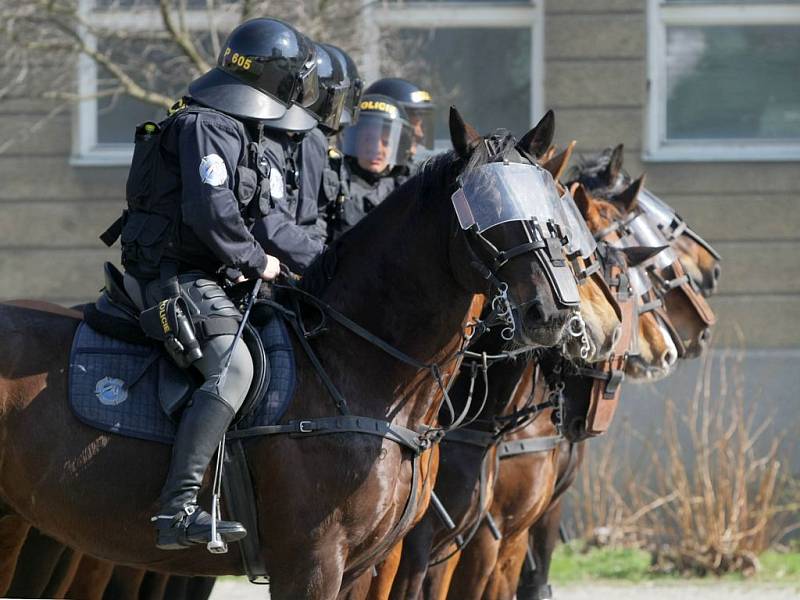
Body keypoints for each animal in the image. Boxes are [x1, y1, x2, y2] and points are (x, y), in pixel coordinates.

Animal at [0, 109, 580, 600]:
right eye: (485, 204)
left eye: (551, 208)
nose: (553, 312)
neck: (354, 369)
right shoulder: (311, 563)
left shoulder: (364, 568)